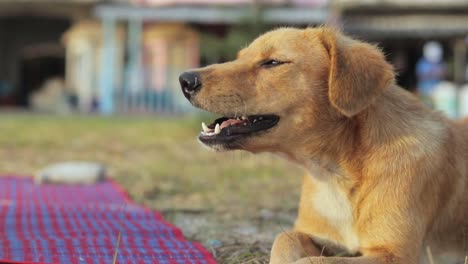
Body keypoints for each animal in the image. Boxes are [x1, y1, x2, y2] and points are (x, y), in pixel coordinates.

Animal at [179, 27, 468, 264]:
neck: (335, 174)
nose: (185, 80)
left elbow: (311, 262)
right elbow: (284, 239)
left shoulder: (394, 254)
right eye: (239, 57)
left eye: (273, 62)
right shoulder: (314, 235)